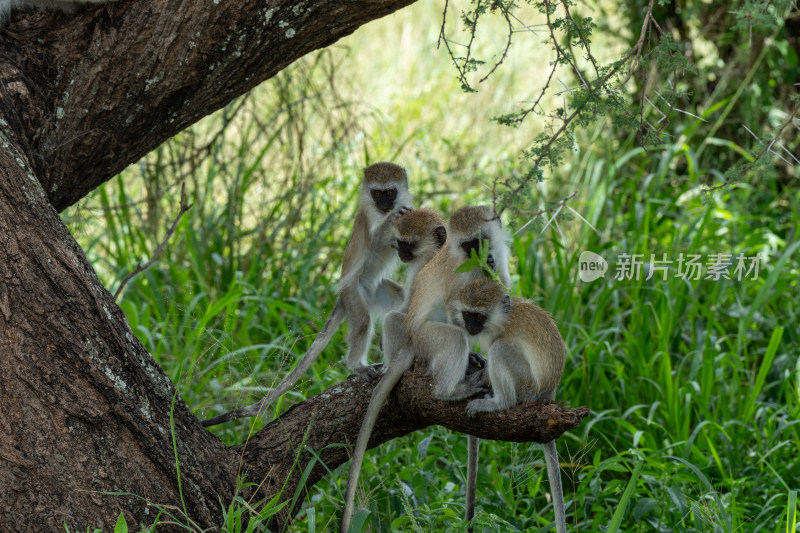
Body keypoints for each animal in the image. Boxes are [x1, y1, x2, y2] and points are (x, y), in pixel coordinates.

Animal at [200, 162, 412, 428]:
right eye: (377, 194)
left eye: (390, 193)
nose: (385, 206)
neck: (379, 212)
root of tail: (344, 296)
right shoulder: (370, 221)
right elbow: (374, 244)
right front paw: (391, 221)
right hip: (354, 293)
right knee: (362, 321)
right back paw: (356, 366)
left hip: (374, 292)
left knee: (399, 298)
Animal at [340, 205, 512, 532]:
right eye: (467, 245)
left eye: (479, 241)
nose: (479, 256)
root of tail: (412, 344)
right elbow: (455, 308)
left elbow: (501, 294)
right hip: (425, 339)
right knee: (442, 332)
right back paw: (451, 387)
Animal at [450, 276, 568, 532]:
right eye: (467, 314)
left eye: (479, 316)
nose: (470, 327)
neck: (504, 315)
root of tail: (547, 396)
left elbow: (496, 347)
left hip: (527, 386)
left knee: (501, 349)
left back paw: (498, 402)